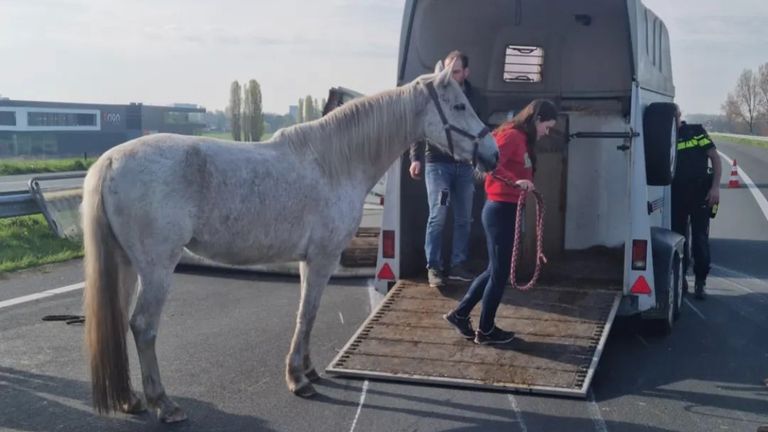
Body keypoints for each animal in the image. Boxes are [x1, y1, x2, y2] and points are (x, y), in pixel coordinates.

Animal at [79, 58, 498, 422]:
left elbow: (305, 313)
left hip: (127, 264)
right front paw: (299, 379)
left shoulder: (307, 259)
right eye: (459, 105)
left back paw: (131, 399)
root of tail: (110, 161)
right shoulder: (323, 257)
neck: (334, 163)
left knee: (121, 322)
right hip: (157, 268)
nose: (492, 154)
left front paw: (308, 370)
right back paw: (163, 404)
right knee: (143, 326)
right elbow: (308, 312)